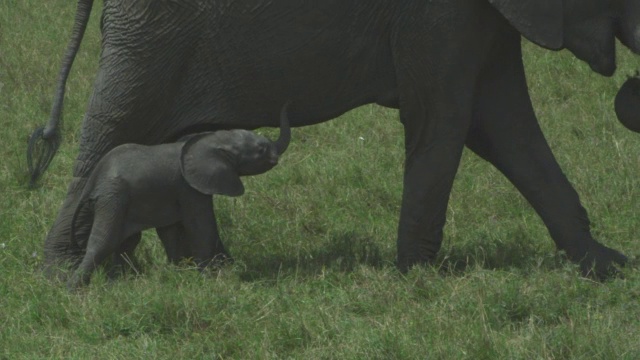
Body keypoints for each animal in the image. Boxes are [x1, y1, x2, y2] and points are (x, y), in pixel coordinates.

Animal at [67, 102, 290, 288]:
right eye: (261, 149)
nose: (285, 103)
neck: (213, 140)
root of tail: (93, 181)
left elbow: (170, 232)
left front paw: (181, 273)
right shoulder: (190, 186)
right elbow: (200, 225)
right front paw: (208, 277)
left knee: (127, 243)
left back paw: (117, 282)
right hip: (112, 196)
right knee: (104, 242)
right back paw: (74, 289)